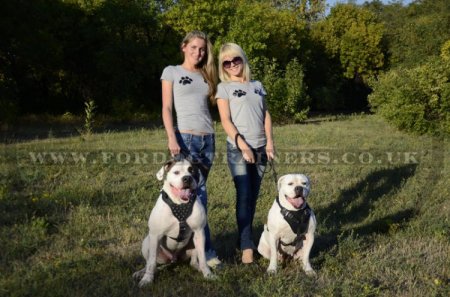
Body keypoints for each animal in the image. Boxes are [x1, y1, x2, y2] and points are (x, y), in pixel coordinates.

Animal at [134, 158, 213, 286]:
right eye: (176, 172)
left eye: (192, 170)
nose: (187, 178)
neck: (180, 204)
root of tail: (174, 259)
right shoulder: (155, 235)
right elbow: (151, 262)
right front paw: (147, 279)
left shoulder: (199, 232)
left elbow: (203, 258)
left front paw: (208, 274)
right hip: (147, 243)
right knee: (150, 263)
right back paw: (141, 272)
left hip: (195, 242)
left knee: (194, 261)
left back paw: (198, 267)